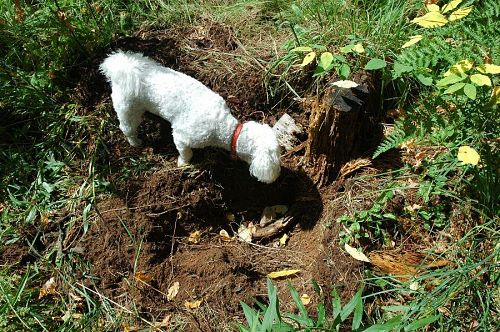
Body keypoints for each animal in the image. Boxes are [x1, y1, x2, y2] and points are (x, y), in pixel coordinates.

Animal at [99, 50, 282, 183]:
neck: (226, 128)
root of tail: (124, 68)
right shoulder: (182, 136)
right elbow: (186, 153)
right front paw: (183, 163)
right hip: (127, 108)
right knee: (127, 127)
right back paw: (135, 142)